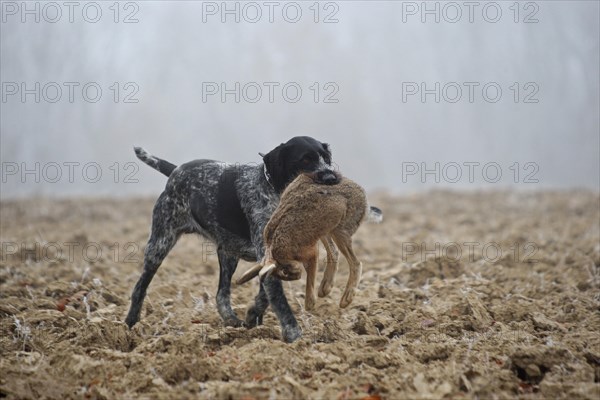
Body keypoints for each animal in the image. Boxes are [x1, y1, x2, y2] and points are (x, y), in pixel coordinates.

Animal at [125, 136, 342, 342]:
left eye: (327, 158)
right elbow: (279, 301)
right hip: (160, 244)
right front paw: (294, 336)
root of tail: (176, 170)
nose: (331, 178)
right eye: (305, 159)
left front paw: (253, 316)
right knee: (139, 288)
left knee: (221, 294)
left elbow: (264, 296)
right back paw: (129, 325)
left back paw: (231, 321)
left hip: (228, 254)